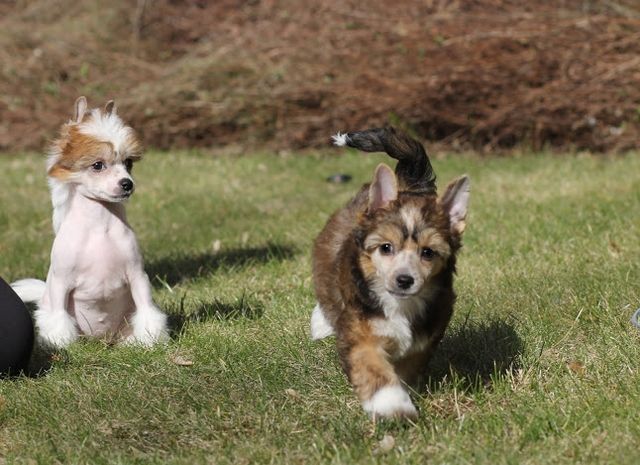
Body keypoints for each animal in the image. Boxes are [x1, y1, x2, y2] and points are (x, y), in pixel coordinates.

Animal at [12, 96, 169, 348]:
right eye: (97, 165)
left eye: (128, 163)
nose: (127, 183)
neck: (100, 228)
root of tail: (103, 340)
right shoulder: (60, 282)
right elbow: (58, 317)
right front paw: (60, 343)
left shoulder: (138, 277)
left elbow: (147, 310)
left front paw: (151, 340)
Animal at [311, 127, 470, 420]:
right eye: (386, 248)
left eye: (428, 253)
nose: (404, 280)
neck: (399, 303)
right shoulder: (360, 332)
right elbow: (373, 367)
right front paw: (393, 406)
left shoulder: (423, 338)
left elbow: (406, 366)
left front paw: (402, 395)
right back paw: (321, 323)